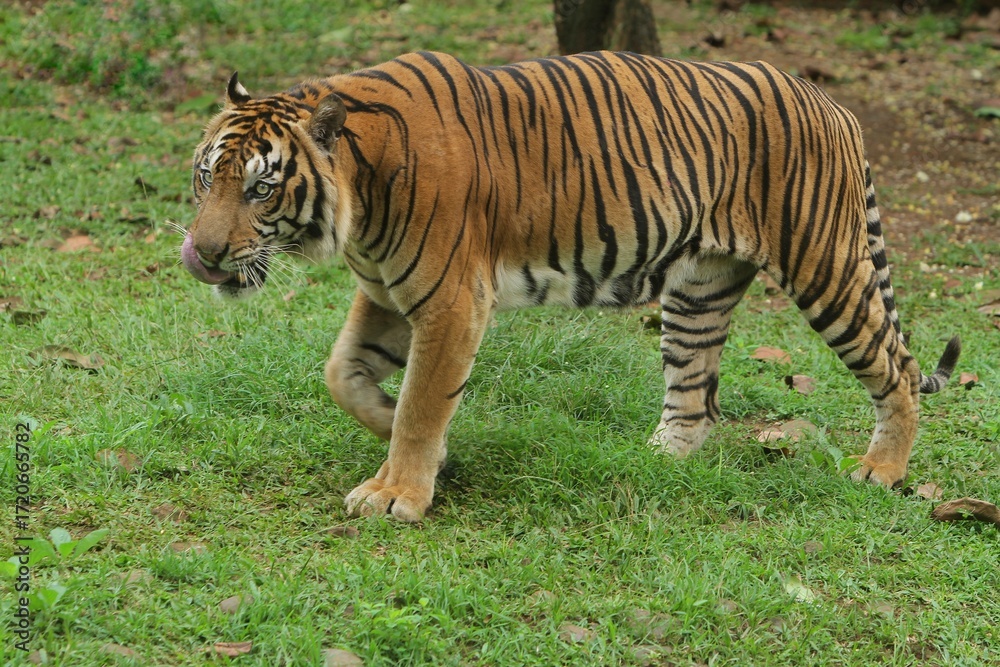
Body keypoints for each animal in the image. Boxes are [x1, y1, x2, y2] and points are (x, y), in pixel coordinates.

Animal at [183, 50, 960, 522]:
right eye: (206, 176)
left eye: (260, 188)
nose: (203, 253)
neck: (360, 199)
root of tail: (834, 105)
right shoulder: (384, 290)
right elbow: (342, 374)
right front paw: (429, 453)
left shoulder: (451, 300)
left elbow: (422, 403)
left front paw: (400, 491)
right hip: (699, 289)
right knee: (695, 397)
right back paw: (656, 461)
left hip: (825, 264)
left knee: (897, 365)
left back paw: (881, 471)